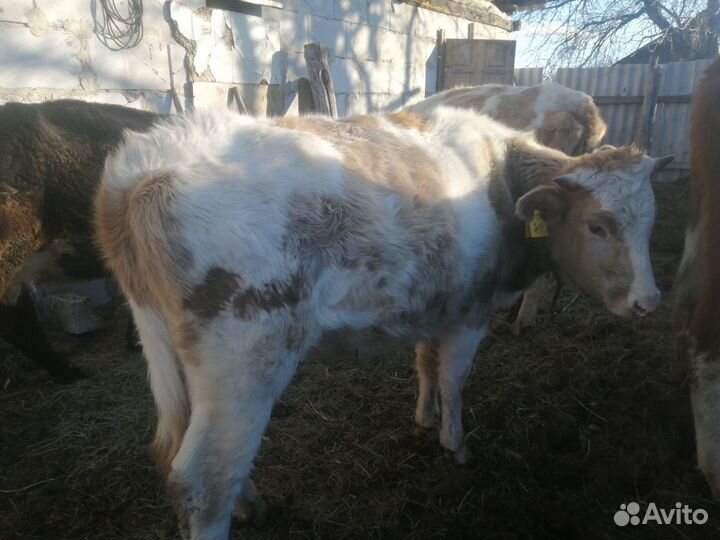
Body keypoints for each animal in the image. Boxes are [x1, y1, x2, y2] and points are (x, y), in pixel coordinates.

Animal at [95, 107, 671, 540]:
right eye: (598, 226)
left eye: (651, 222)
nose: (649, 302)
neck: (499, 176)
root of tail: (144, 165)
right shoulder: (472, 310)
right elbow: (454, 378)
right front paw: (455, 443)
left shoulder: (437, 303)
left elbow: (426, 364)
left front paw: (423, 418)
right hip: (246, 359)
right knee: (204, 478)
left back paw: (251, 504)